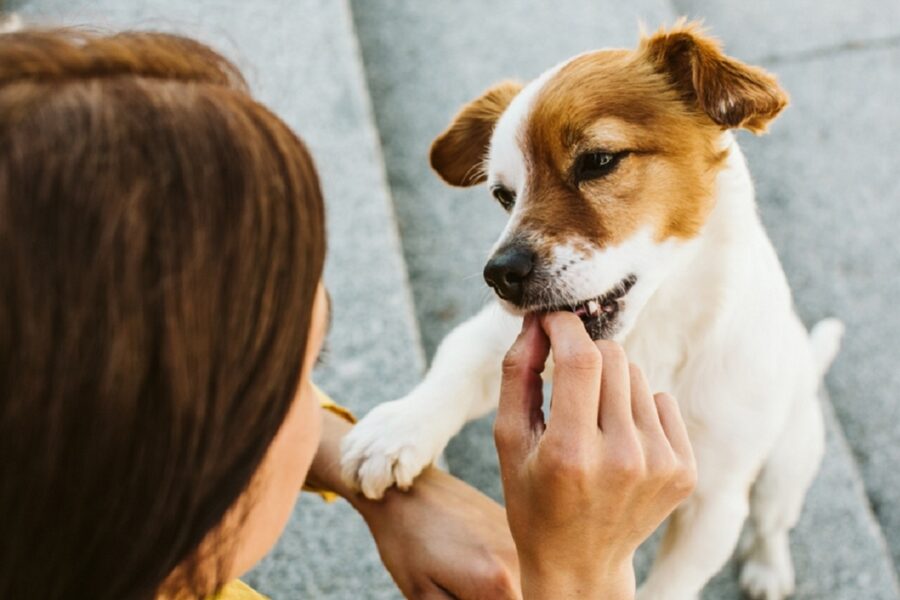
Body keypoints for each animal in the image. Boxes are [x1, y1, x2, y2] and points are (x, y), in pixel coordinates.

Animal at [342, 21, 848, 596]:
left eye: (599, 161)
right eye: (503, 195)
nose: (500, 274)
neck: (650, 329)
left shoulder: (715, 503)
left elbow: (672, 582)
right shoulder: (492, 338)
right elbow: (456, 368)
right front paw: (396, 431)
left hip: (785, 463)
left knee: (771, 522)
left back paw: (769, 567)